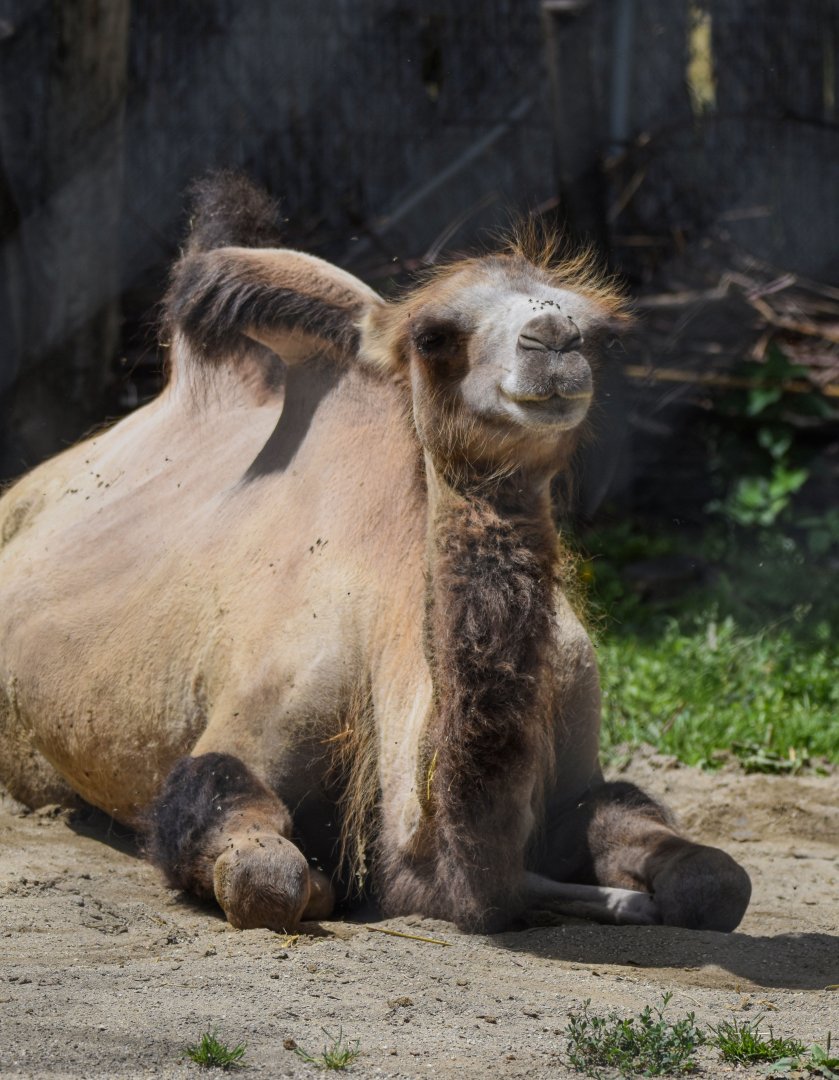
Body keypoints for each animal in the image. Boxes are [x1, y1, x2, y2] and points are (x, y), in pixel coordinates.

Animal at [0, 175, 751, 934]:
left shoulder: (579, 765)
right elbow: (262, 872)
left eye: (597, 335)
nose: (554, 341)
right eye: (433, 335)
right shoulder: (253, 719)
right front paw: (320, 884)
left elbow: (716, 881)